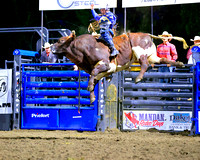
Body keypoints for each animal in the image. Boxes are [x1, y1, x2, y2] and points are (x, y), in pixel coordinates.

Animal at [52, 31, 186, 104]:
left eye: (60, 40)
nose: (50, 47)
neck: (85, 47)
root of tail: (147, 35)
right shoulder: (102, 71)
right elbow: (93, 78)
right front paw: (92, 98)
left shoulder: (107, 64)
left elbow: (93, 74)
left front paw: (90, 88)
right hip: (152, 56)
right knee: (162, 60)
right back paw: (179, 63)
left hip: (139, 52)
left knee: (144, 64)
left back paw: (138, 78)